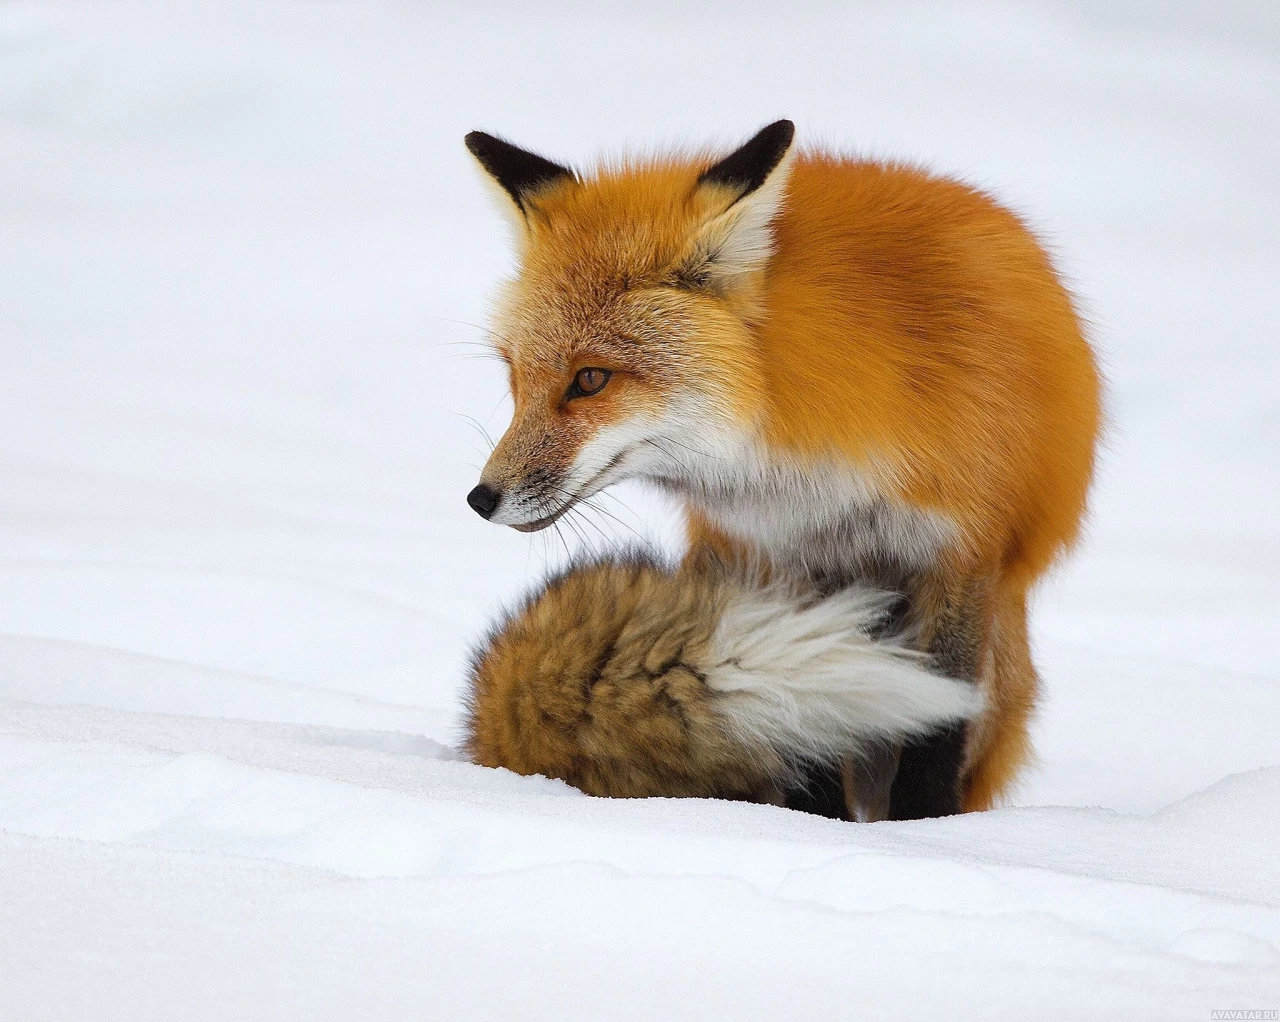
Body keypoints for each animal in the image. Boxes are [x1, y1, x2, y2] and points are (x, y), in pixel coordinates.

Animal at [460, 122, 1100, 824]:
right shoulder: (780, 560)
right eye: (515, 376)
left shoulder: (961, 554)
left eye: (591, 379)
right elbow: (807, 734)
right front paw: (812, 828)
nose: (481, 498)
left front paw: (925, 830)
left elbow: (940, 728)